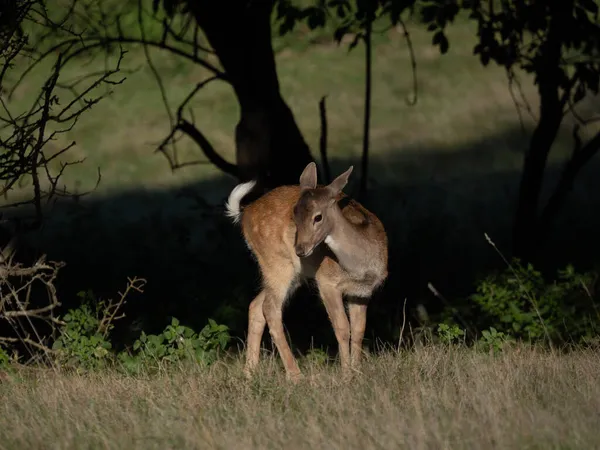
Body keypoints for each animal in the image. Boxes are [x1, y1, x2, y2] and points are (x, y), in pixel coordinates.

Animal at [225, 162, 390, 380]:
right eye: (294, 214)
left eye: (317, 217)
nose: (300, 249)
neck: (362, 267)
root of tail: (244, 213)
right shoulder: (326, 281)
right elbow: (342, 327)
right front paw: (346, 374)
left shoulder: (361, 292)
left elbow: (359, 328)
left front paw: (357, 371)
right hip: (276, 263)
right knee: (270, 308)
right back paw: (295, 375)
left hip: (293, 274)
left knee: (255, 305)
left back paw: (249, 373)